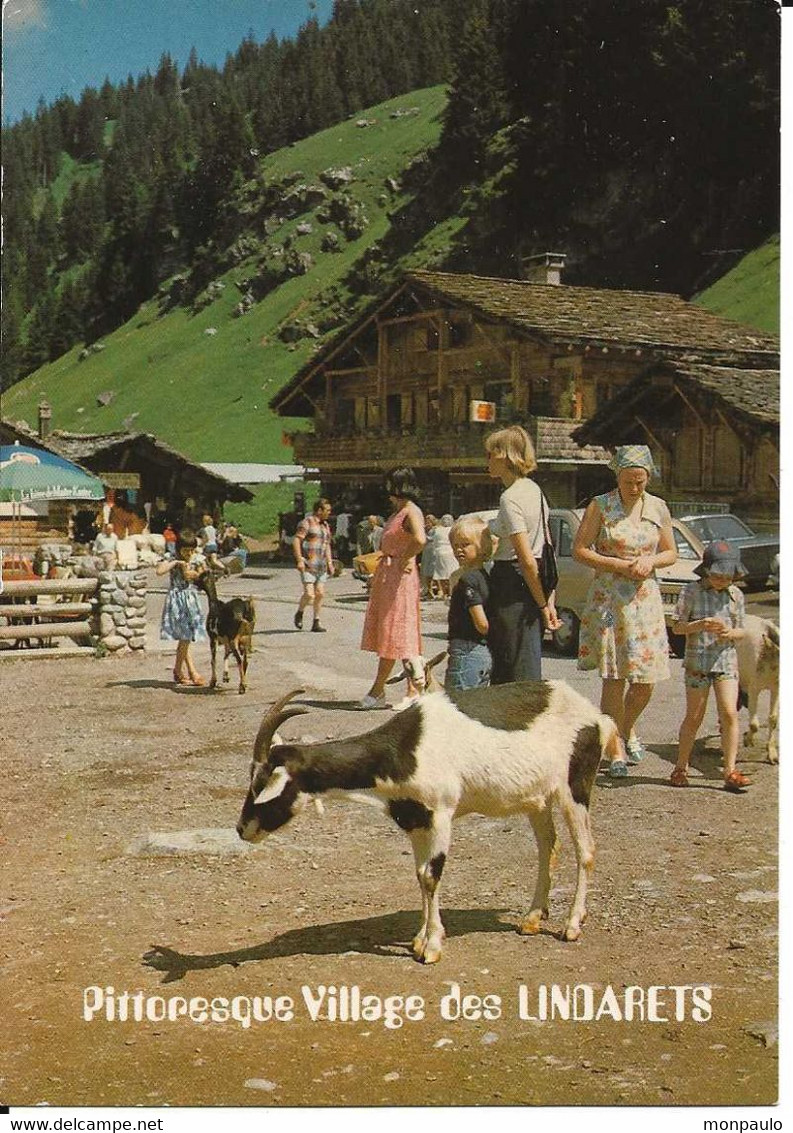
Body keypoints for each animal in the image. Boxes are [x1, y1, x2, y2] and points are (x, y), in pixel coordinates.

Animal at [235, 679, 620, 965]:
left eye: (261, 785)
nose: (241, 829)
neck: (404, 749)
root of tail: (597, 716)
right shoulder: (416, 821)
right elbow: (420, 877)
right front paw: (421, 939)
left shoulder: (440, 815)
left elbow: (432, 877)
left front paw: (432, 948)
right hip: (537, 798)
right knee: (547, 847)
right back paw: (531, 918)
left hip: (574, 786)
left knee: (585, 850)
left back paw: (572, 925)